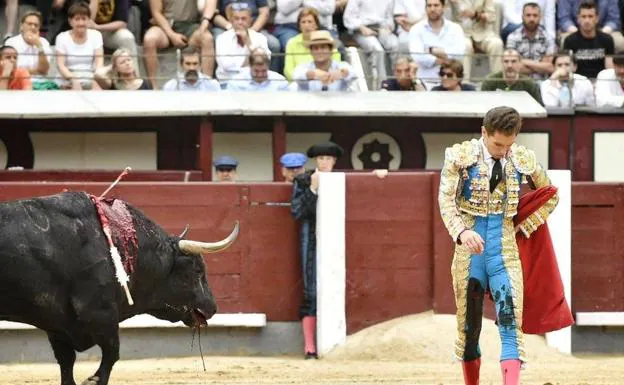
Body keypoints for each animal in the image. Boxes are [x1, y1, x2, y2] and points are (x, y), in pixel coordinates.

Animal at [0, 192, 239, 384]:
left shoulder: (58, 326)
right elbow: (112, 354)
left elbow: (67, 365)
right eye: (198, 270)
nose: (213, 307)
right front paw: (93, 380)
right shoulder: (100, 313)